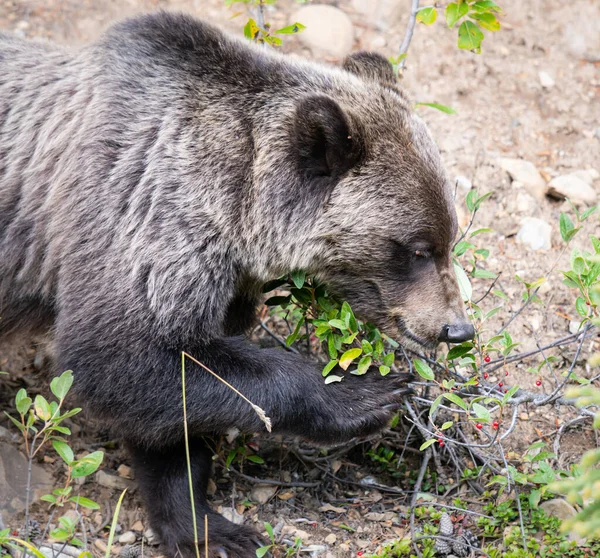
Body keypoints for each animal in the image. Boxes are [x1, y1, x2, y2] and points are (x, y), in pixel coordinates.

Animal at [1, 10, 474, 556]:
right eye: (418, 249)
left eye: (450, 237)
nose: (456, 328)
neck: (233, 208)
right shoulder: (139, 211)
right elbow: (125, 356)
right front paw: (364, 394)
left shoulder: (217, 282)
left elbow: (174, 410)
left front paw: (202, 524)